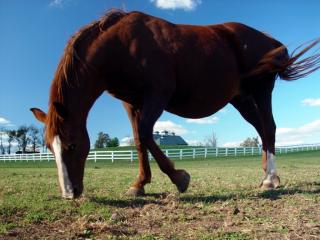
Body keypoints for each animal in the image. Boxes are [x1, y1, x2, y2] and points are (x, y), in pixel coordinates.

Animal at [30, 9, 320, 199]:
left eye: (72, 145)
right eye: (49, 148)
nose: (70, 193)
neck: (122, 45)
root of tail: (272, 42)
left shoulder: (157, 95)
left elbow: (146, 134)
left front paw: (180, 178)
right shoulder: (131, 103)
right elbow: (139, 140)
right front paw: (139, 184)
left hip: (261, 91)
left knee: (269, 128)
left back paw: (270, 179)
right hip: (241, 99)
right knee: (261, 130)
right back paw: (268, 175)